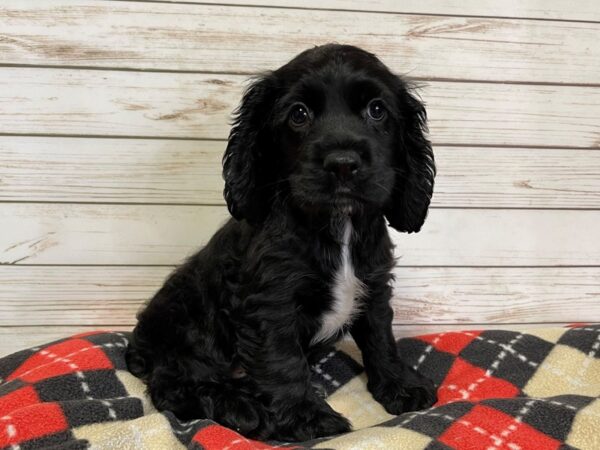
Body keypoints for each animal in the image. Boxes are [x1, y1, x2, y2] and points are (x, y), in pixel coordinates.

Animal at [126, 44, 436, 442]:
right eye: (299, 114)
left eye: (377, 109)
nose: (342, 164)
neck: (338, 225)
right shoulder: (271, 303)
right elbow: (283, 362)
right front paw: (307, 417)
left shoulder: (374, 285)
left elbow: (381, 338)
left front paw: (400, 386)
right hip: (189, 327)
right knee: (172, 386)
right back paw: (243, 410)